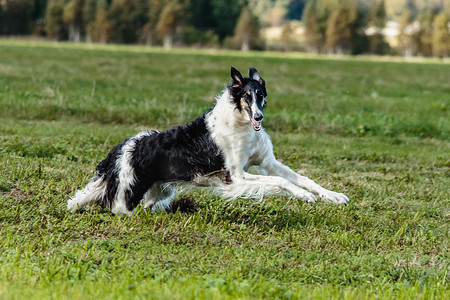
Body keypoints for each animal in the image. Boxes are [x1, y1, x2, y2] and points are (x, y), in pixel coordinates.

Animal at [67, 66, 348, 214]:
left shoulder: (268, 162)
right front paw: (304, 197)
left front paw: (333, 196)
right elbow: (280, 182)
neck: (240, 124)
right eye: (246, 96)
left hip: (158, 190)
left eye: (260, 95)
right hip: (127, 197)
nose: (259, 117)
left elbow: (304, 178)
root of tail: (120, 149)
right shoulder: (236, 176)